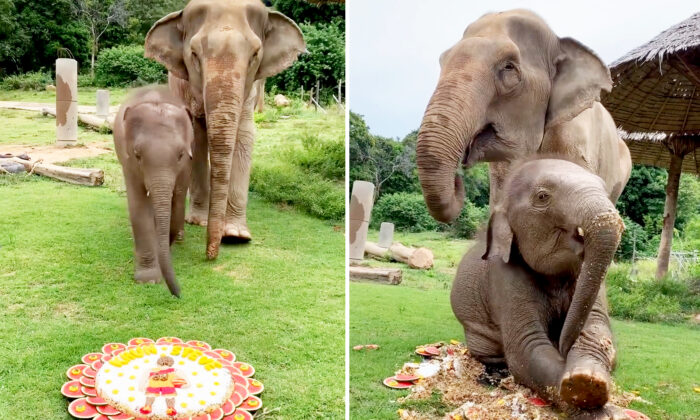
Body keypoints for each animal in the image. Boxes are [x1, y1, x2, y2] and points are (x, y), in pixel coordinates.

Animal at [113, 85, 194, 296]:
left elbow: (178, 199)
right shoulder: (129, 163)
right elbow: (138, 205)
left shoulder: (187, 162)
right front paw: (148, 280)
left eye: (181, 154)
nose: (178, 294)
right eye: (137, 155)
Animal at [144, 0, 304, 260]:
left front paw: (236, 236)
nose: (210, 255)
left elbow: (245, 135)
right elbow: (197, 136)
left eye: (255, 54)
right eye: (194, 54)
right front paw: (198, 222)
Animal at [452, 158, 628, 416]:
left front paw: (590, 382)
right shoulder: (503, 276)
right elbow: (526, 347)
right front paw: (586, 393)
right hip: (476, 335)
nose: (563, 346)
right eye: (543, 197)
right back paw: (496, 377)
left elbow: (597, 329)